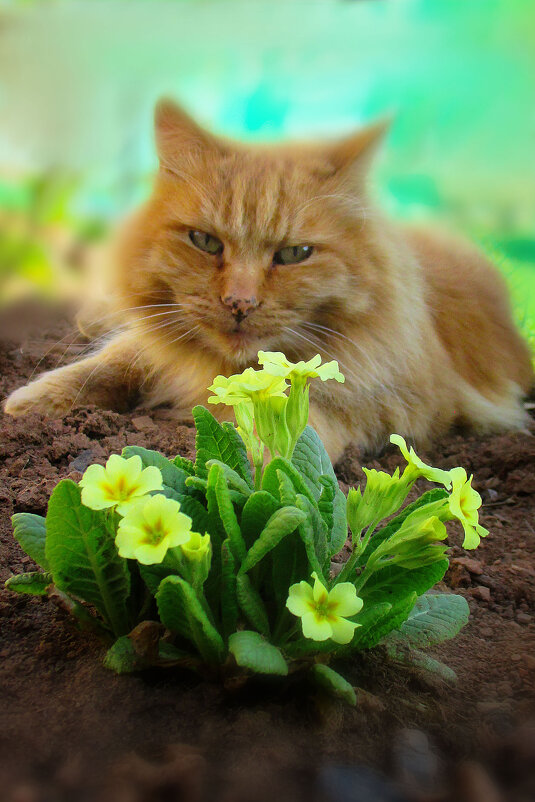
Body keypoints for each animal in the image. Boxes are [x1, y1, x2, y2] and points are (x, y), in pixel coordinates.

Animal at [3, 100, 532, 462]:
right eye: (205, 242)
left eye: (294, 255)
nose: (239, 303)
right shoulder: (153, 340)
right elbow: (107, 363)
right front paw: (26, 405)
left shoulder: (405, 403)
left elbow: (303, 420)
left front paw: (255, 457)